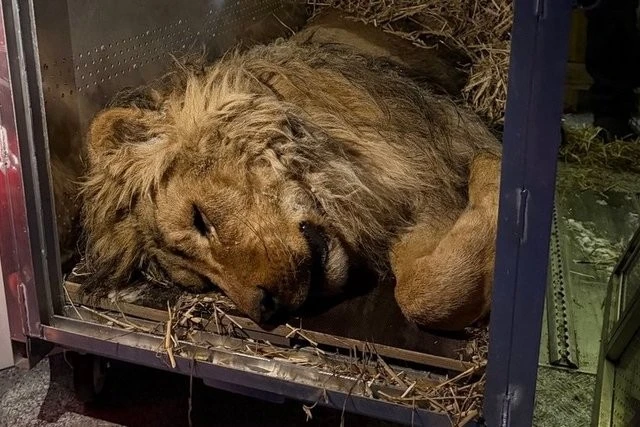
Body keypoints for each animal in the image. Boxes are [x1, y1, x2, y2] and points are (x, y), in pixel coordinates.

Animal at [79, 12, 501, 331]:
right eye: (199, 282)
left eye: (199, 218)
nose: (266, 310)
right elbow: (420, 293)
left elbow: (422, 293)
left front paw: (492, 166)